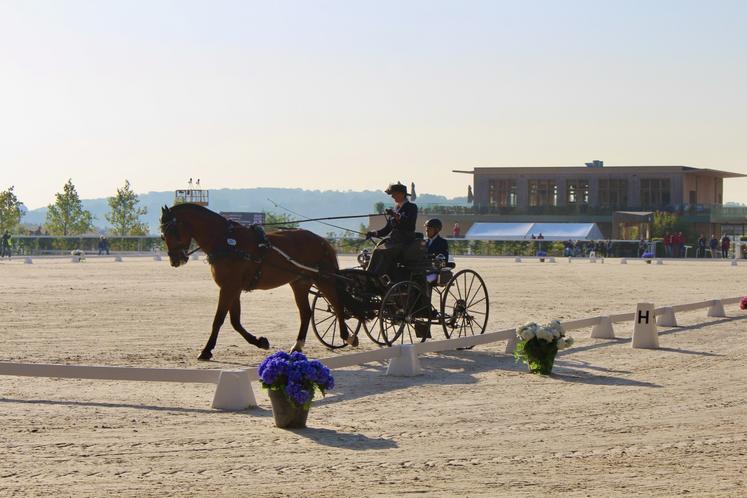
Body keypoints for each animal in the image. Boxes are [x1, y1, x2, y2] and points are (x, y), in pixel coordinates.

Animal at [159, 204, 356, 360]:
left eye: (173, 231)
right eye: (162, 235)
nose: (175, 260)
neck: (227, 242)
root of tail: (322, 241)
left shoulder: (230, 287)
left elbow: (219, 319)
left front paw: (206, 350)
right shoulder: (232, 288)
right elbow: (235, 321)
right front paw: (260, 342)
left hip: (323, 278)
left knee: (337, 305)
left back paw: (348, 337)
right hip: (300, 283)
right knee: (306, 312)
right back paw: (297, 346)